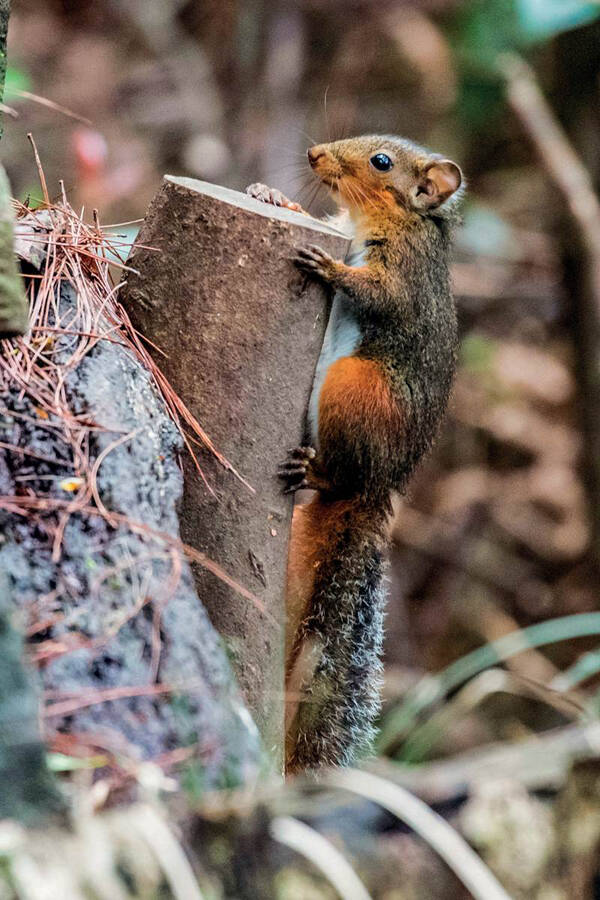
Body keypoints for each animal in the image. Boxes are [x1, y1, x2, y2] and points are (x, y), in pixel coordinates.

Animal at [246, 135, 462, 772]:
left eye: (382, 162)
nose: (315, 154)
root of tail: (383, 485)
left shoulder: (406, 272)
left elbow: (377, 293)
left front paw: (331, 269)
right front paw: (272, 196)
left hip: (352, 387)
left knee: (342, 475)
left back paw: (316, 470)